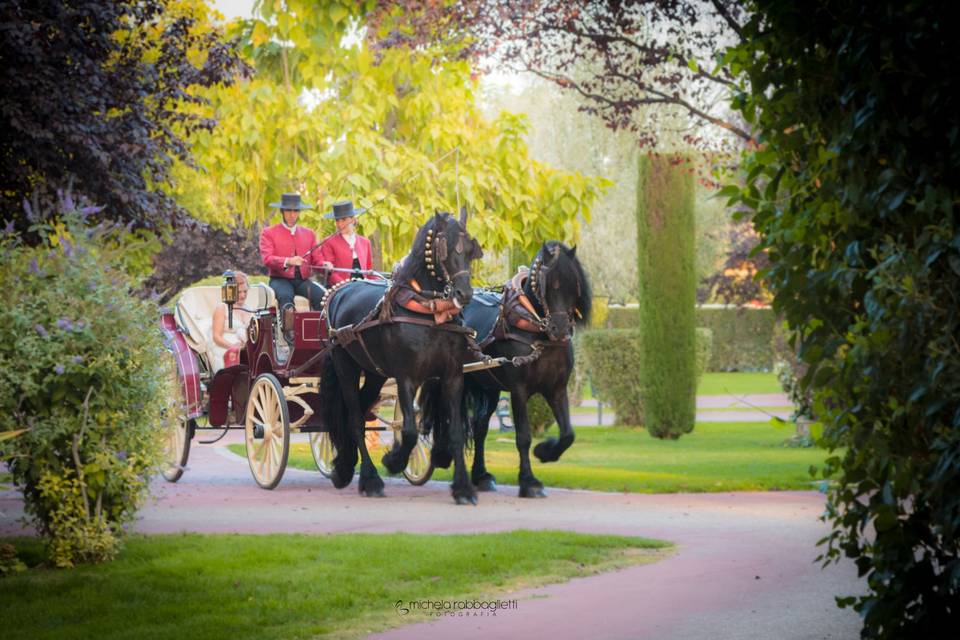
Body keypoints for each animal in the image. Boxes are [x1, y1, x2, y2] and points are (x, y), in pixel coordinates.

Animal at [318, 212, 484, 502]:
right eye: (447, 249)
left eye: (470, 251)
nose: (464, 294)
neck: (429, 311)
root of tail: (339, 291)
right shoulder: (406, 376)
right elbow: (408, 431)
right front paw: (394, 460)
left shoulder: (452, 376)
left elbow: (454, 431)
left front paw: (463, 487)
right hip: (345, 367)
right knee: (354, 420)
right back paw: (370, 479)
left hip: (373, 374)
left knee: (360, 411)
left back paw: (344, 467)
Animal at [422, 240, 588, 496]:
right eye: (548, 284)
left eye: (574, 285)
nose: (559, 329)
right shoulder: (519, 389)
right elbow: (523, 436)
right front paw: (529, 482)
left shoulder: (557, 389)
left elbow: (568, 434)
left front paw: (545, 451)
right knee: (442, 415)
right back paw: (440, 455)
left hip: (488, 387)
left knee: (479, 428)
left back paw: (480, 475)